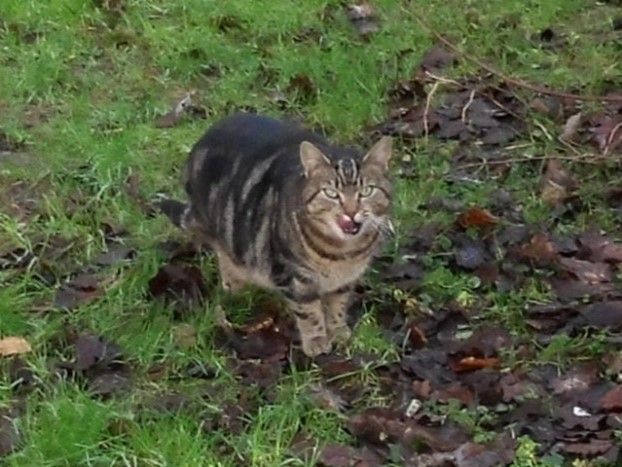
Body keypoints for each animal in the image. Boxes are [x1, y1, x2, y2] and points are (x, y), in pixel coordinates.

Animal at [160, 113, 393, 356]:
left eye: (366, 191)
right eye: (331, 193)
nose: (350, 211)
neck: (342, 253)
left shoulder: (343, 283)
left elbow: (337, 306)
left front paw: (339, 332)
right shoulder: (295, 277)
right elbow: (309, 312)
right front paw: (316, 340)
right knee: (224, 256)